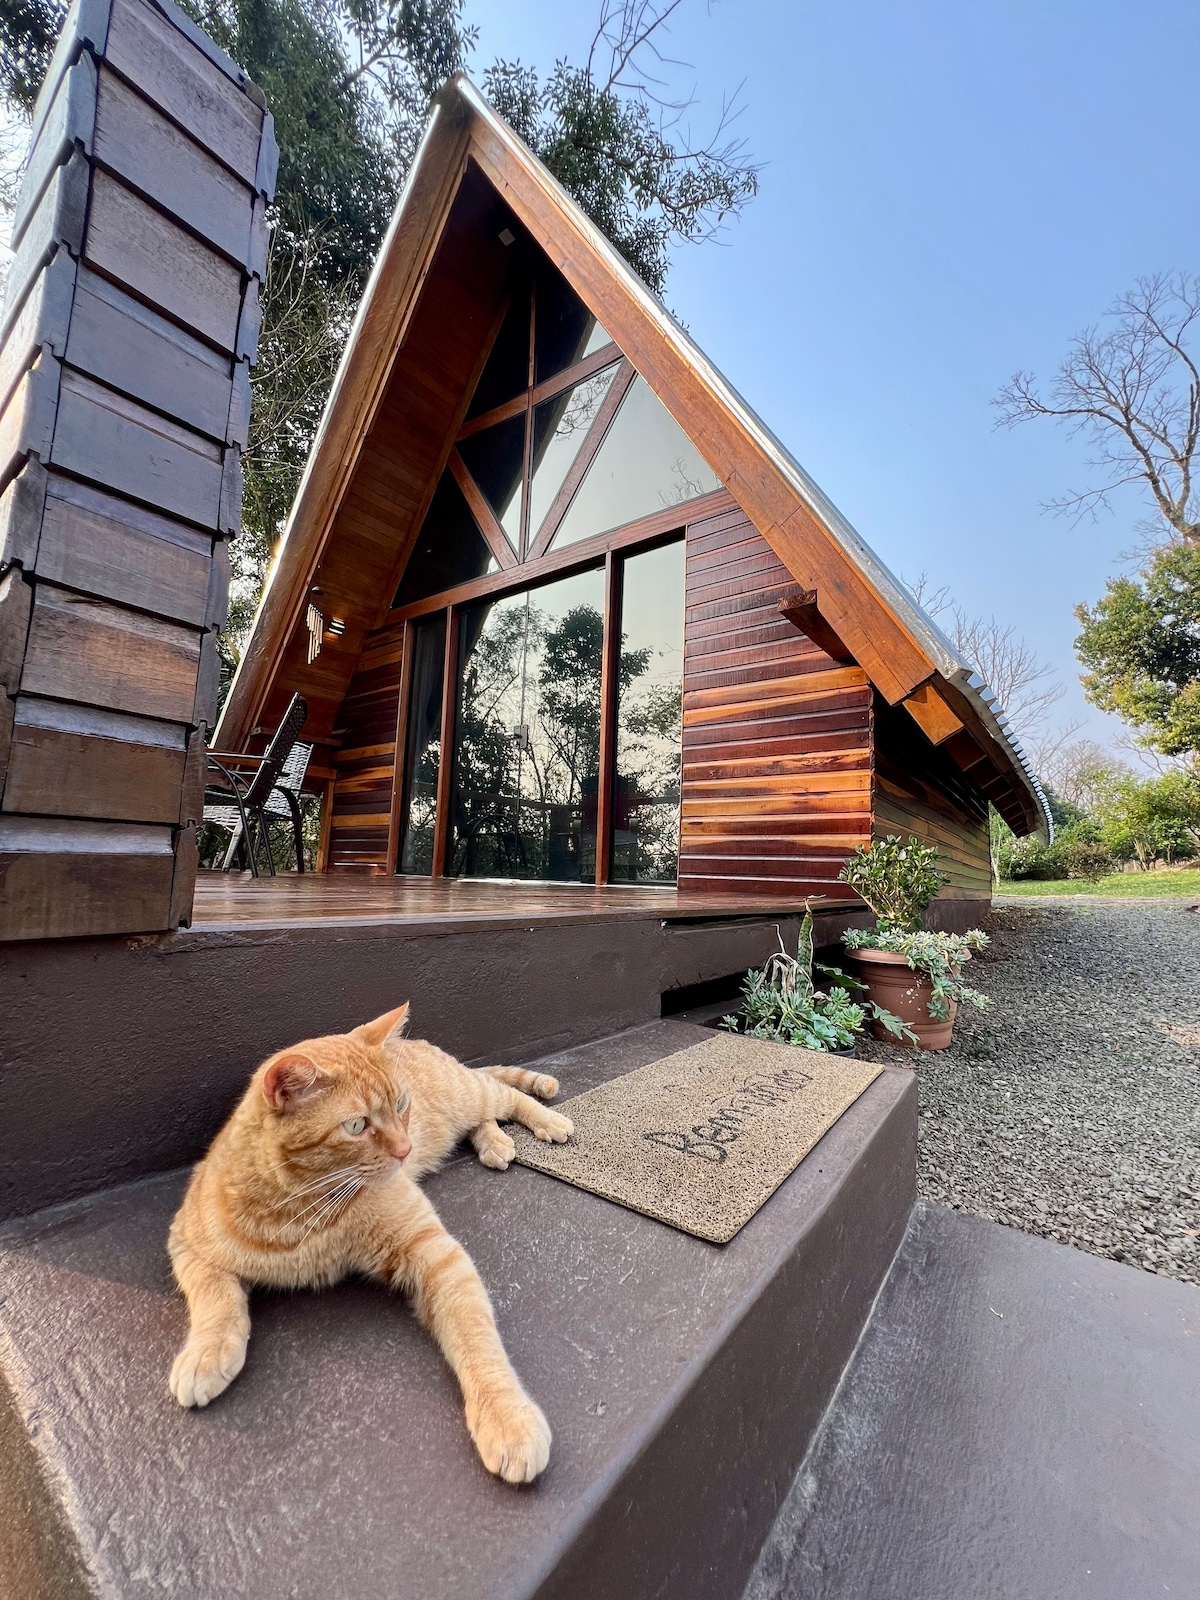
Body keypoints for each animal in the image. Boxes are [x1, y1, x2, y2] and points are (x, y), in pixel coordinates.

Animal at [167, 1002, 573, 1483]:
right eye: (356, 1125)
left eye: (400, 1104)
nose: (405, 1149)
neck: (302, 1210)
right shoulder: (185, 1240)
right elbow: (215, 1295)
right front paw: (206, 1352)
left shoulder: (435, 1254)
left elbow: (476, 1338)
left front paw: (505, 1417)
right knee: (483, 1117)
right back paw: (494, 1141)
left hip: (465, 1093)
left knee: (502, 1095)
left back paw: (546, 1120)